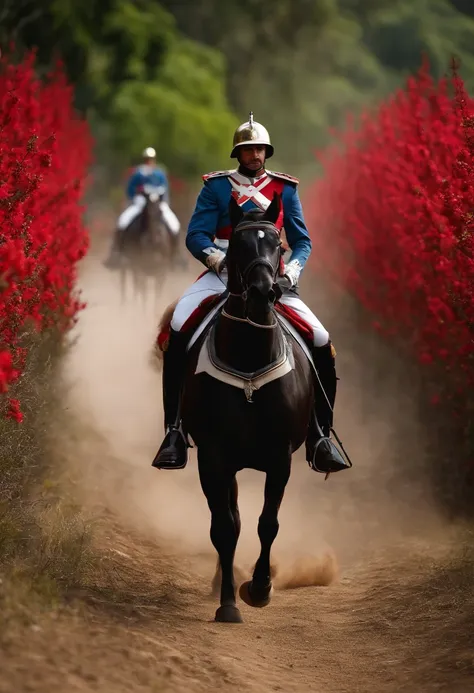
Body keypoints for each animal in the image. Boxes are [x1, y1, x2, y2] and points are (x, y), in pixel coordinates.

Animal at [174, 192, 348, 624]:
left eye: (278, 246)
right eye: (237, 245)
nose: (263, 292)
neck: (250, 355)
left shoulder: (278, 457)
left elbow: (267, 524)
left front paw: (260, 588)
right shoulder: (214, 457)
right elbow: (224, 527)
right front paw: (228, 603)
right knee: (231, 519)